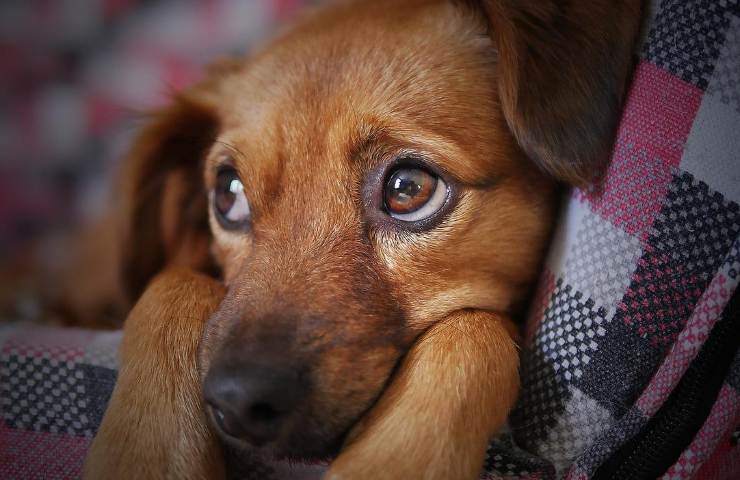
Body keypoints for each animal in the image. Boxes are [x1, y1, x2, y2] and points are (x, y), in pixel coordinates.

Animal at [76, 0, 640, 478]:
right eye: (228, 193)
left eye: (408, 188)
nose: (237, 402)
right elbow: (173, 283)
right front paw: (144, 454)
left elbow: (474, 330)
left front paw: (390, 460)